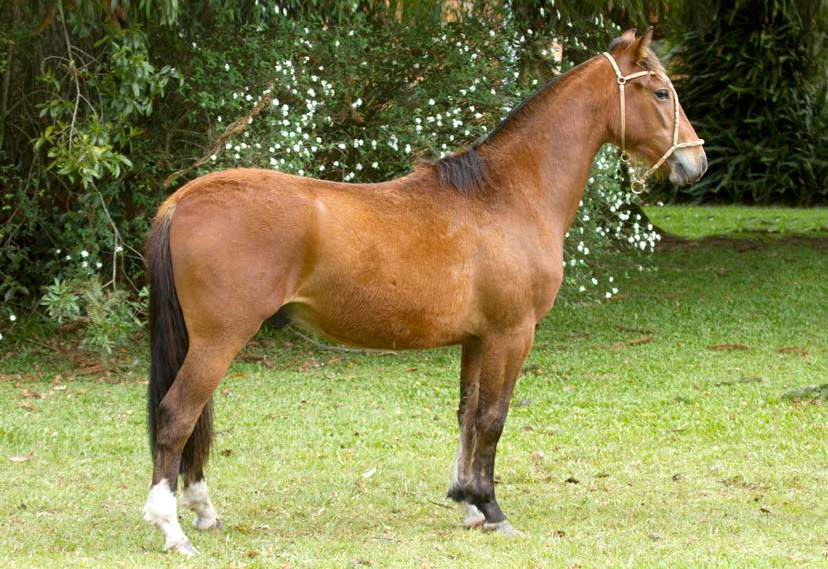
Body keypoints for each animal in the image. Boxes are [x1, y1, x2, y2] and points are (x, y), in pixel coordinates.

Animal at [141, 27, 704, 556]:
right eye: (660, 92)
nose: (696, 164)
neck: (506, 195)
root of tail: (182, 199)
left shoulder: (477, 339)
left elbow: (468, 415)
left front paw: (468, 502)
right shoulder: (511, 334)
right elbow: (493, 419)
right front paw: (493, 509)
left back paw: (202, 512)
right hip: (219, 341)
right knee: (177, 416)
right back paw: (172, 529)